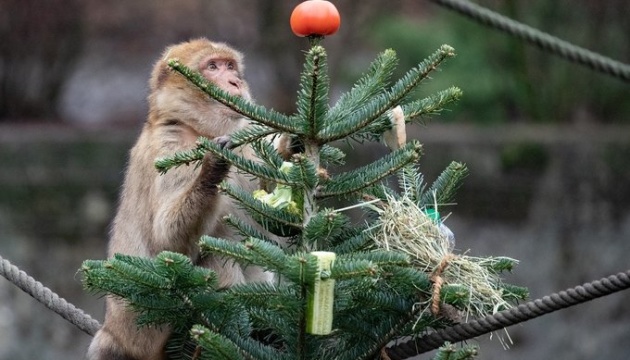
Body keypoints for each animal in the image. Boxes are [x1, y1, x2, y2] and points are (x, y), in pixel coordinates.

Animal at [87, 38, 276, 360]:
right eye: (212, 67)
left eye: (230, 66)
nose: (235, 82)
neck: (197, 128)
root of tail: (114, 331)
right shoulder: (171, 147)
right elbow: (168, 243)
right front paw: (211, 170)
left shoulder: (243, 146)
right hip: (151, 329)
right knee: (212, 255)